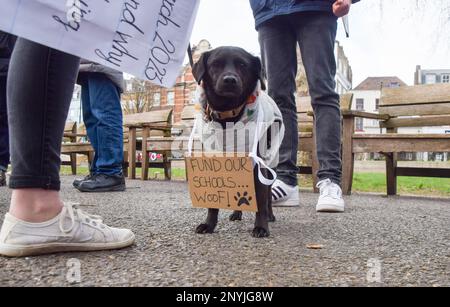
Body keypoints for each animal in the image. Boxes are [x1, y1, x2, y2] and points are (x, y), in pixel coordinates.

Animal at [192, 46, 276, 238]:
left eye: (243, 65)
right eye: (215, 64)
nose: (229, 80)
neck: (227, 115)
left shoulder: (257, 166)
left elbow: (261, 200)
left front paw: (261, 227)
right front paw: (209, 224)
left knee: (268, 193)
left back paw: (270, 216)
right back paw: (237, 213)